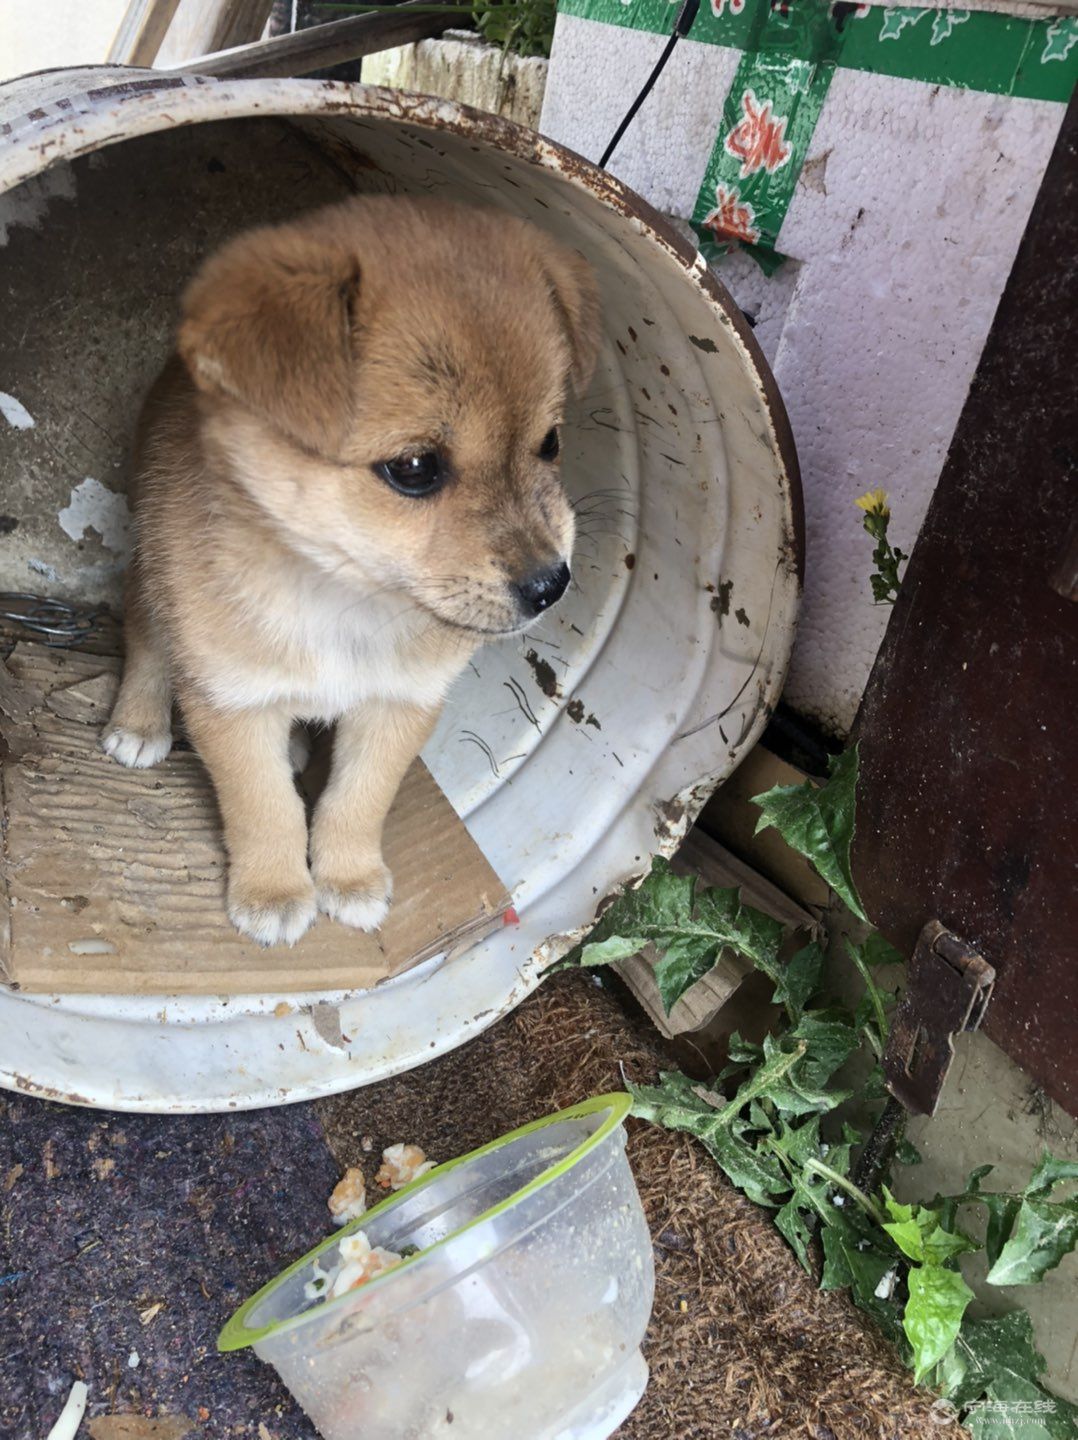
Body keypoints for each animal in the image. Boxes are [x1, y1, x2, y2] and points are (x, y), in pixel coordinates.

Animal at [102, 197, 595, 950]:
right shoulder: (231, 701)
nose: (551, 585)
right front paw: (274, 891)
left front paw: (350, 877)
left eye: (551, 442)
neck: (346, 597)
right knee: (145, 631)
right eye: (415, 468)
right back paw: (138, 720)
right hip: (158, 578)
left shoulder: (399, 704)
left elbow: (358, 800)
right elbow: (264, 807)